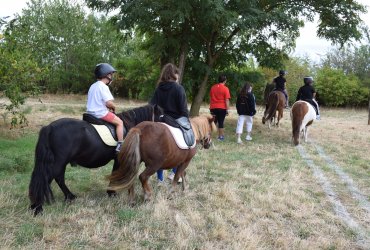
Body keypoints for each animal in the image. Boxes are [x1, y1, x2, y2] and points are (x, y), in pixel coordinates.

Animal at [28, 104, 162, 216]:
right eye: (161, 115)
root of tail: (49, 127)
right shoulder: (119, 159)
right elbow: (115, 173)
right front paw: (112, 192)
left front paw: (111, 192)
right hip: (59, 162)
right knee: (48, 179)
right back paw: (38, 207)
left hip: (61, 162)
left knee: (58, 178)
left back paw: (69, 197)